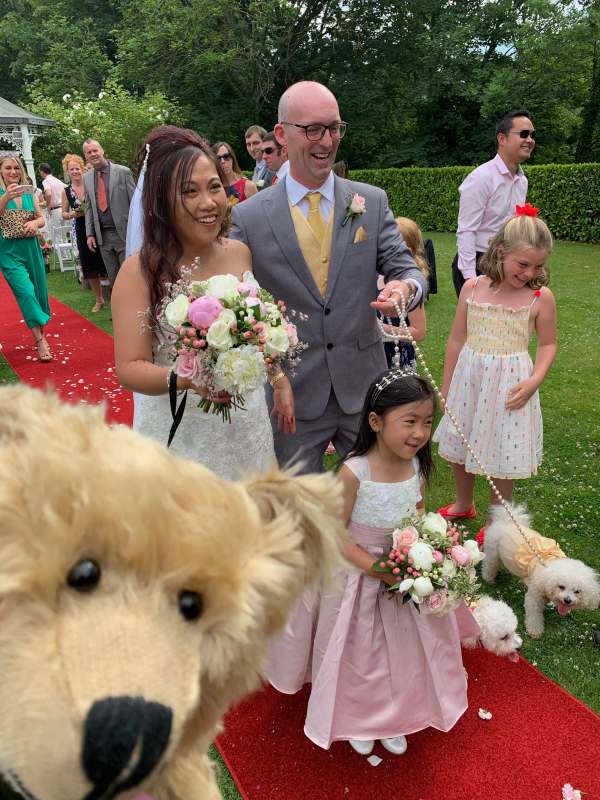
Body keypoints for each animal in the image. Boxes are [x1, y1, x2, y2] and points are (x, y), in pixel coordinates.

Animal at [482, 506, 600, 636]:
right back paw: (489, 579)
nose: (567, 600)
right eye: (561, 586)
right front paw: (535, 631)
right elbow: (534, 616)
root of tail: (506, 521)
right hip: (492, 552)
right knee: (489, 565)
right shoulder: (534, 598)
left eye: (577, 591)